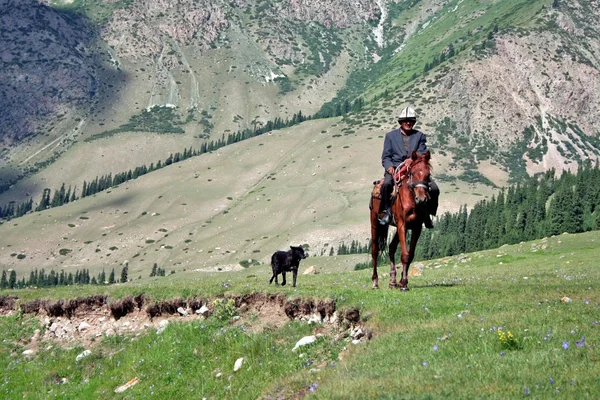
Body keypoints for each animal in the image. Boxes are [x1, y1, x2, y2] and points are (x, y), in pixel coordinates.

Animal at [370, 150, 432, 290]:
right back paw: (375, 282)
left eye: (428, 174)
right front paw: (403, 284)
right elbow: (405, 254)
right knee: (375, 251)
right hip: (375, 223)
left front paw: (402, 282)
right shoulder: (402, 225)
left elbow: (410, 255)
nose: (421, 199)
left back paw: (392, 281)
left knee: (392, 247)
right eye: (412, 173)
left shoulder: (416, 228)